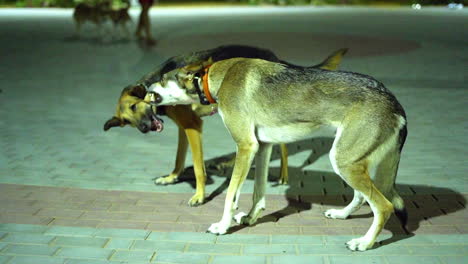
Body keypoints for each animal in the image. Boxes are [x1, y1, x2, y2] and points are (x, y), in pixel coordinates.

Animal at [105, 44, 348, 206]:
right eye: (126, 122)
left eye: (134, 107)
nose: (144, 129)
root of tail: (274, 57)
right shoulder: (185, 128)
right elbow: (179, 158)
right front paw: (172, 177)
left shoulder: (193, 126)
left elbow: (197, 167)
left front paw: (200, 195)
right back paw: (229, 163)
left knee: (282, 145)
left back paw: (282, 175)